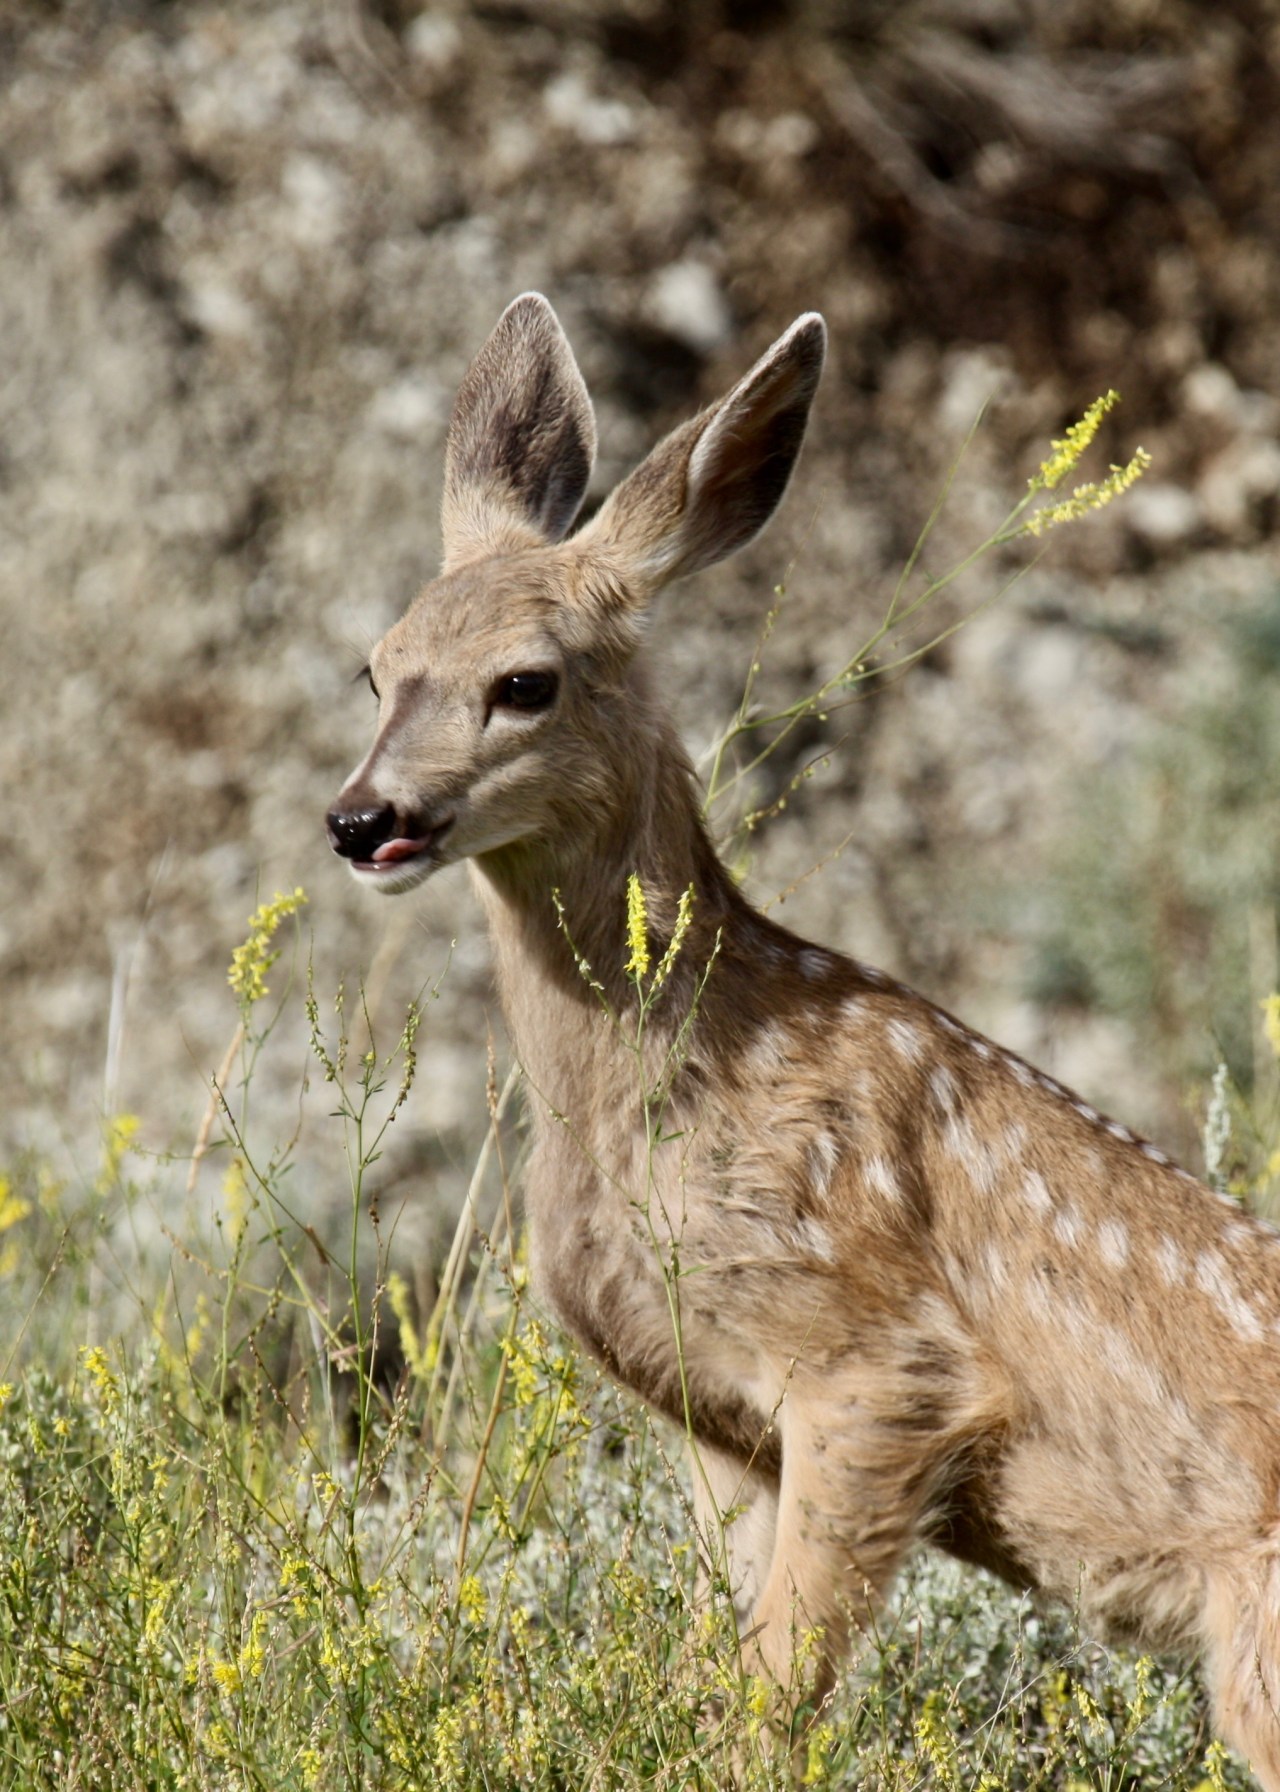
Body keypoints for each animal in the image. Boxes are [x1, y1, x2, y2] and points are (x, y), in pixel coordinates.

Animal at [327, 293, 1280, 1785]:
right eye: (375, 668)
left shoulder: (878, 1362)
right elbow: (729, 1666)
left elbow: (776, 1688)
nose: (363, 819)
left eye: (527, 681)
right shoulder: (715, 1418)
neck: (664, 1091)